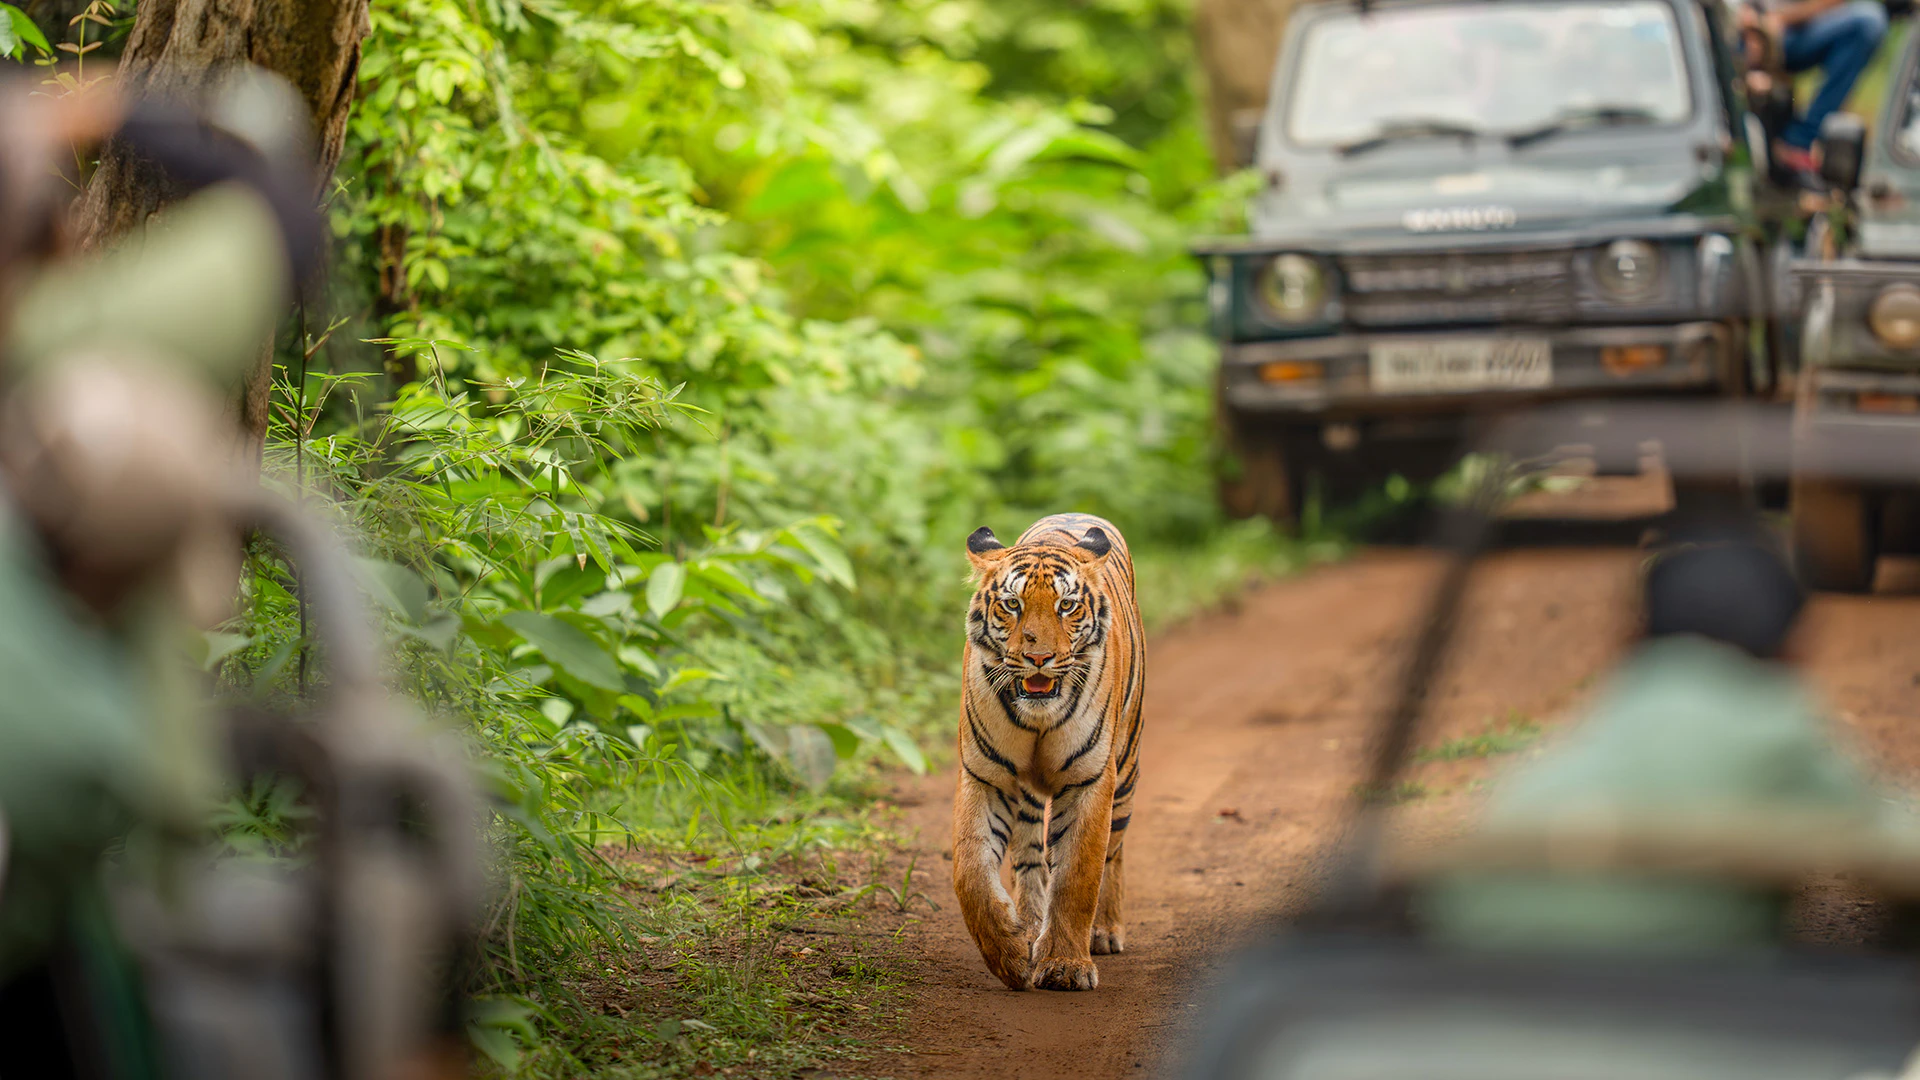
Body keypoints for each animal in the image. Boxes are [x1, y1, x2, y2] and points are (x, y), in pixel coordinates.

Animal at [952, 512, 1146, 991]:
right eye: (1012, 604)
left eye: (1067, 606)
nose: (1038, 657)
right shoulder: (985, 774)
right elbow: (970, 871)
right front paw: (1008, 953)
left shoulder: (1088, 779)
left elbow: (1078, 875)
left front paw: (1064, 966)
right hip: (1025, 794)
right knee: (1028, 858)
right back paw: (1029, 924)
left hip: (1126, 771)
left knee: (1113, 852)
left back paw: (1104, 931)